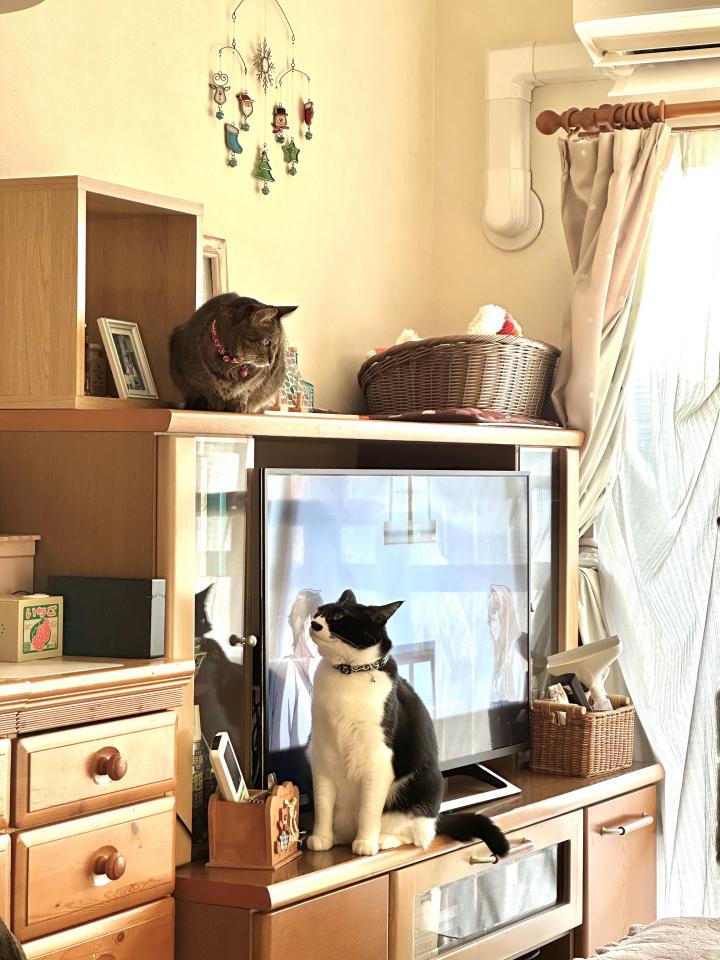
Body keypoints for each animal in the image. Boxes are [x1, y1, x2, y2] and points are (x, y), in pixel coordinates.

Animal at [170, 294, 298, 412]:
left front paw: (239, 404)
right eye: (267, 342)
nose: (272, 360)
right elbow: (208, 387)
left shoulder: (259, 379)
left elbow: (246, 390)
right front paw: (214, 402)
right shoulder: (192, 374)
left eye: (277, 344)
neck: (231, 363)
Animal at [306, 589, 509, 858]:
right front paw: (321, 837)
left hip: (422, 787)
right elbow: (322, 804)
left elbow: (368, 809)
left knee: (419, 834)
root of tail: (438, 816)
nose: (314, 623)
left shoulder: (378, 757)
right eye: (319, 611)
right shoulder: (321, 754)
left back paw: (382, 840)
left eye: (339, 616)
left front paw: (366, 843)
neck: (347, 672)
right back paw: (339, 837)